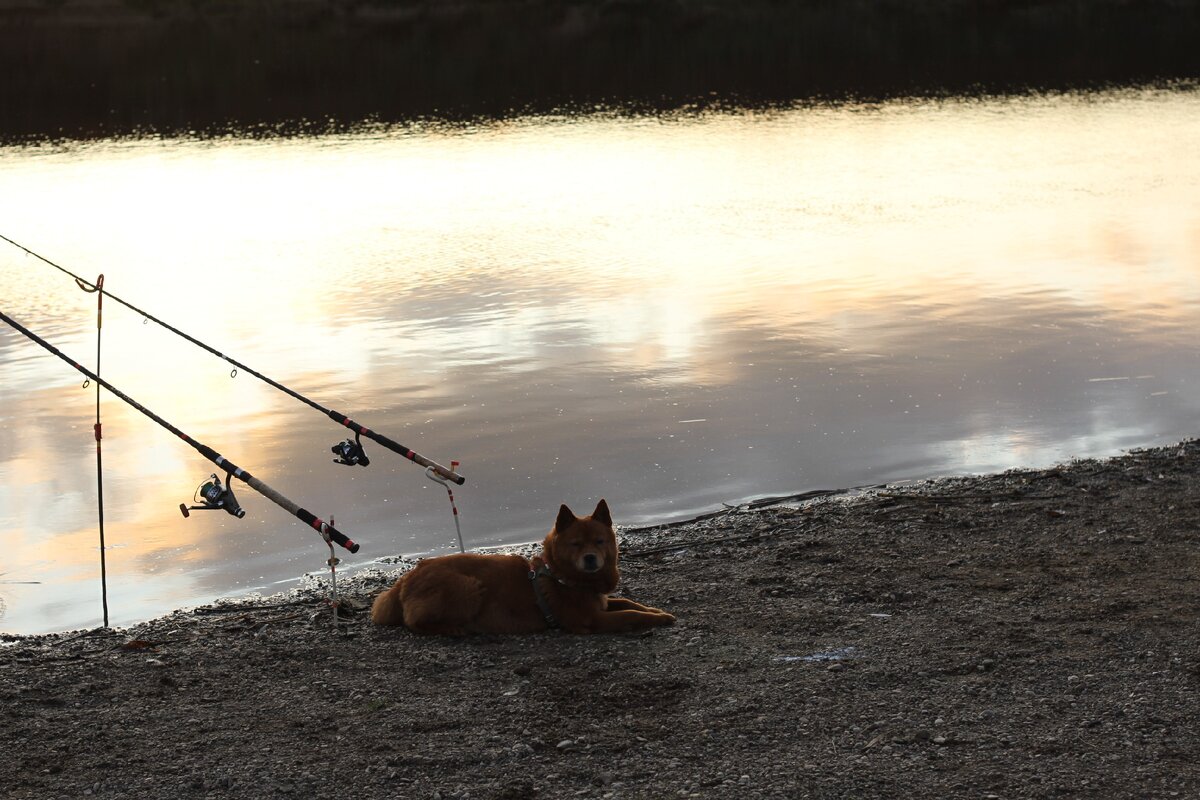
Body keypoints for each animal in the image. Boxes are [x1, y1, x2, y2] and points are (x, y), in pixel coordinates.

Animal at [369, 496, 676, 633]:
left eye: (599, 541)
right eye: (576, 544)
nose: (590, 558)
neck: (562, 576)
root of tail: (404, 580)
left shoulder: (600, 603)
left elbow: (629, 602)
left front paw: (655, 610)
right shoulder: (591, 620)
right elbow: (631, 614)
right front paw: (658, 618)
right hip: (468, 585)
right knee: (416, 622)